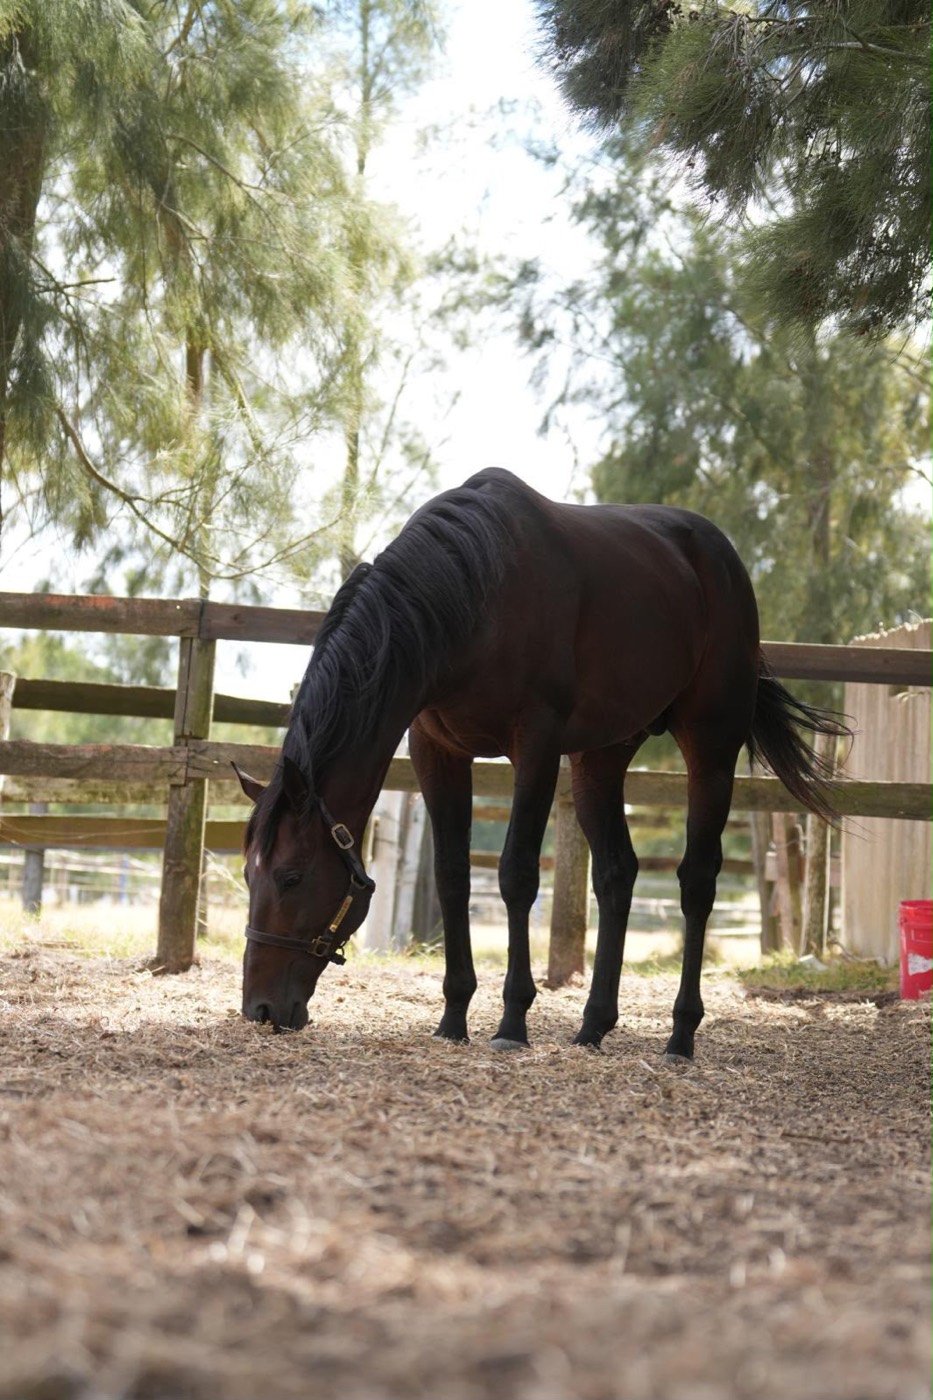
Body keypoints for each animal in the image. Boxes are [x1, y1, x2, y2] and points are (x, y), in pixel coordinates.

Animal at [234, 468, 846, 1055]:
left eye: (291, 876)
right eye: (248, 874)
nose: (259, 1008)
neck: (470, 598)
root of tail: (720, 557)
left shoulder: (536, 748)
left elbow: (516, 874)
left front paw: (512, 1020)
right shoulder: (439, 751)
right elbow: (453, 874)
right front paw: (453, 1017)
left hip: (710, 747)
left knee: (697, 880)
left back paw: (680, 1034)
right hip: (601, 756)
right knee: (617, 873)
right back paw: (593, 1025)